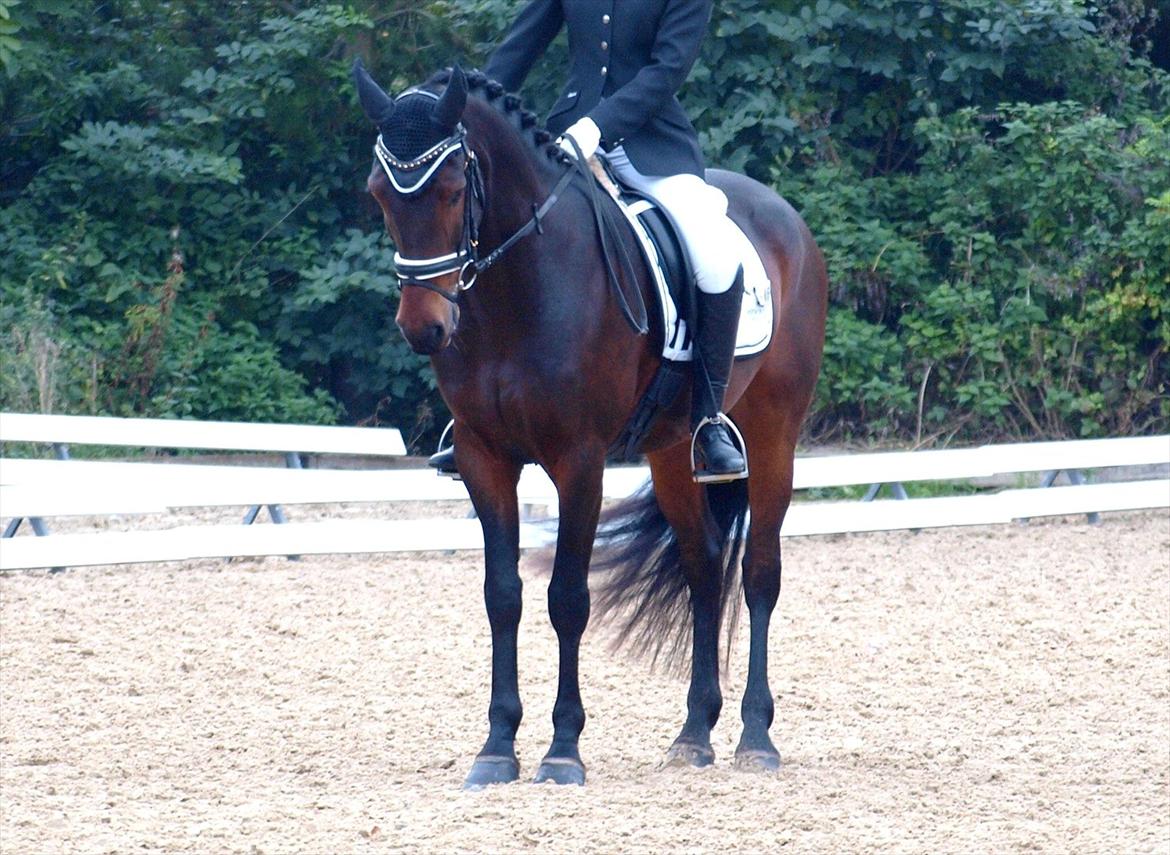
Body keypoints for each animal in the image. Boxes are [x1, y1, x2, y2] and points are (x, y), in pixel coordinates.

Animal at [353, 61, 827, 787]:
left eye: (454, 190)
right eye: (379, 194)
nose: (423, 328)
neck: (516, 292)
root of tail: (786, 216)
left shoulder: (579, 459)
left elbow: (567, 597)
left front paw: (562, 749)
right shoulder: (483, 458)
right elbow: (502, 596)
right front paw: (497, 746)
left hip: (774, 434)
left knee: (759, 575)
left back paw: (756, 737)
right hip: (671, 450)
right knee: (703, 565)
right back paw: (693, 734)